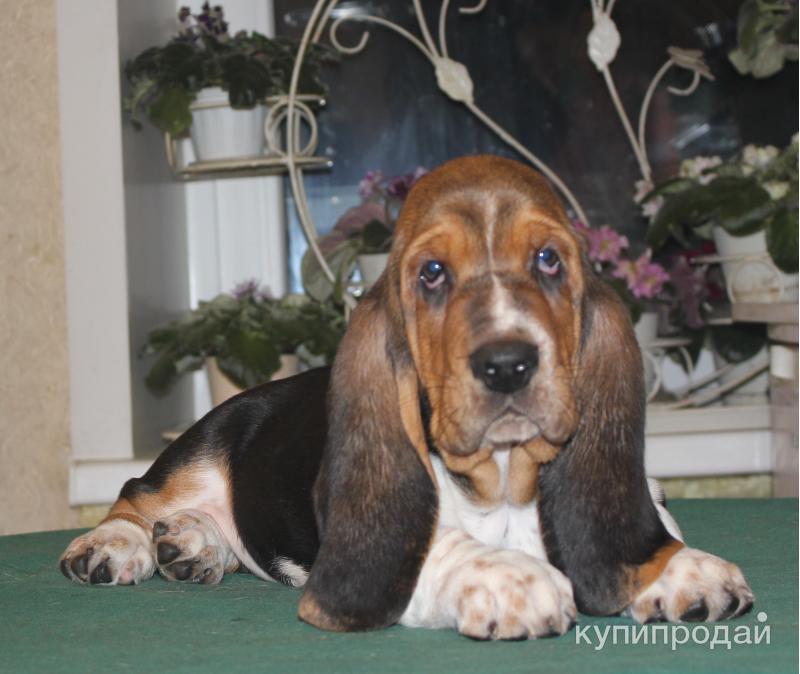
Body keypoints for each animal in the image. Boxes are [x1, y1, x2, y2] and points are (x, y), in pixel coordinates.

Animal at [60, 155, 753, 640]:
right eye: (433, 273)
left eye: (549, 260)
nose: (507, 365)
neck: (506, 482)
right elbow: (443, 547)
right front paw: (512, 580)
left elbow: (651, 530)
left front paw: (684, 568)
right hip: (199, 449)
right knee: (135, 497)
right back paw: (117, 546)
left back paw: (195, 544)